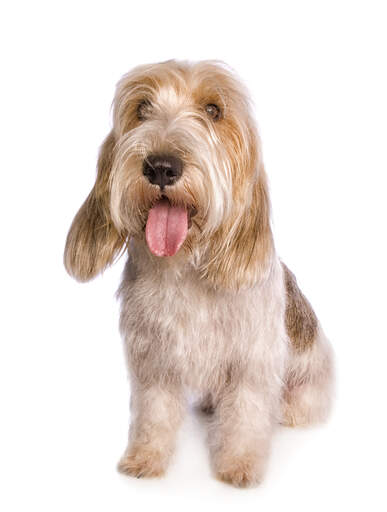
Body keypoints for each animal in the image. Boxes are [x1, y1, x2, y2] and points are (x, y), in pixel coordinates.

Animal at [65, 60, 334, 488]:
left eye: (213, 110)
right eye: (142, 108)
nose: (161, 166)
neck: (183, 270)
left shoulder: (251, 364)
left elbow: (246, 415)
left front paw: (239, 465)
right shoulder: (152, 359)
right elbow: (153, 414)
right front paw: (145, 457)